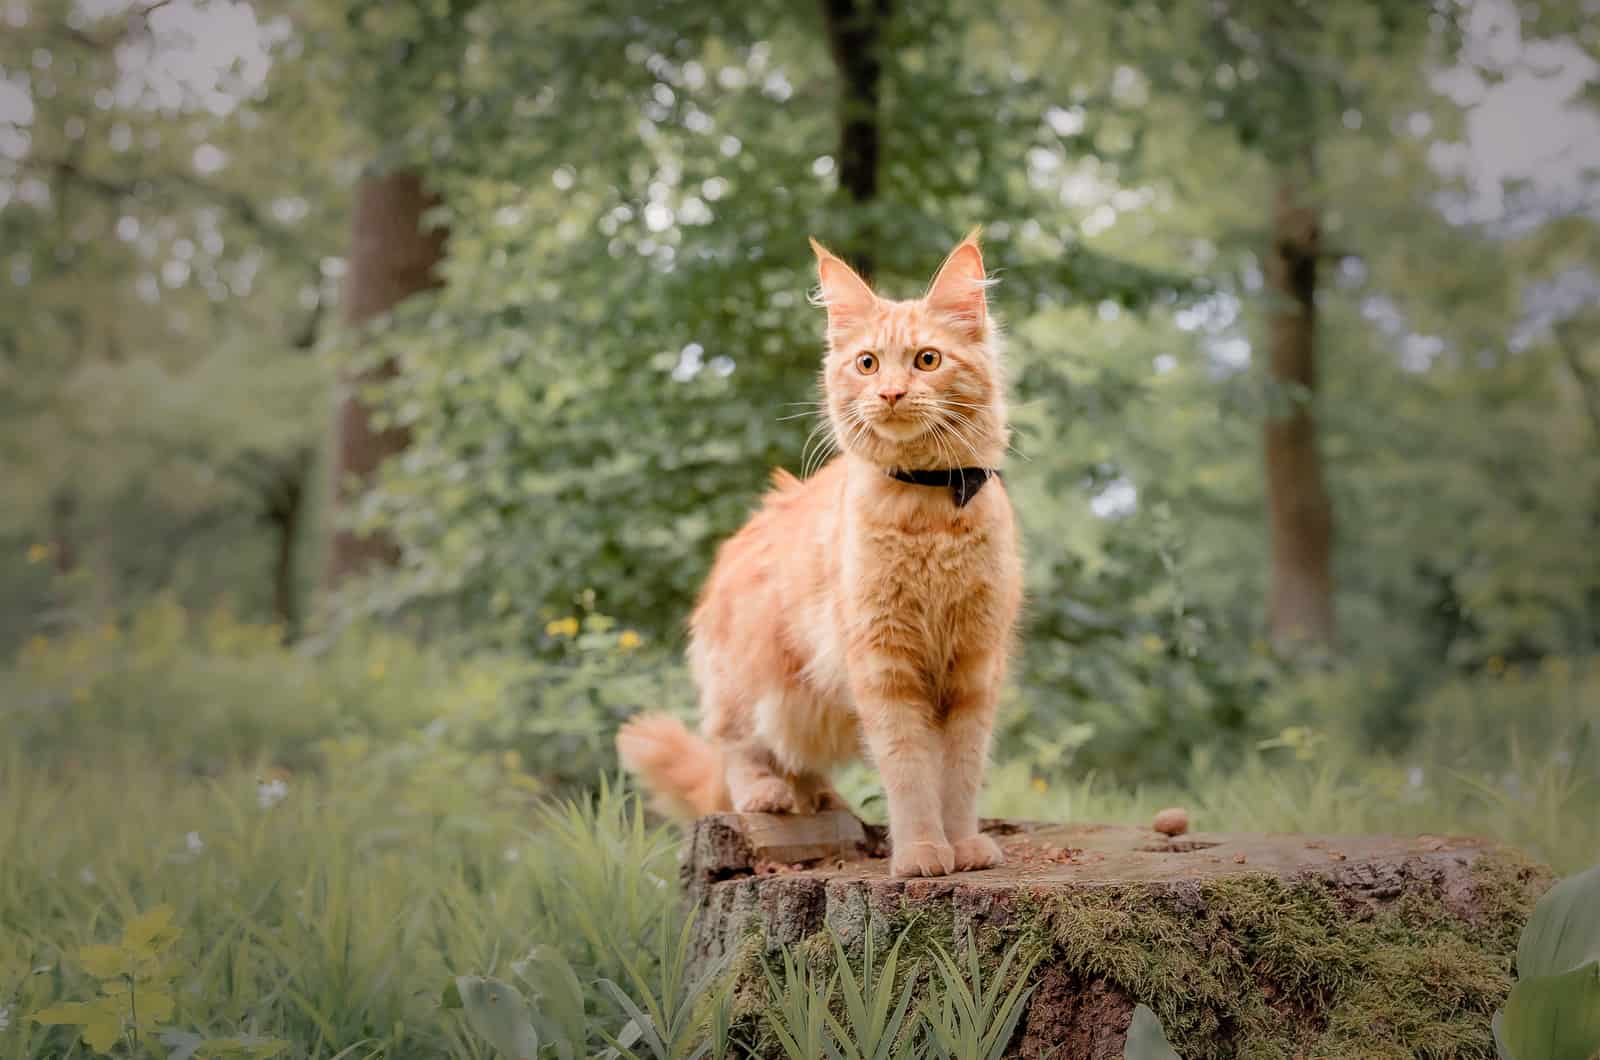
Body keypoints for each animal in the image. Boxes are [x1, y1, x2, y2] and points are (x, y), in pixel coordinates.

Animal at [617, 232, 1017, 877]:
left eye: (927, 360)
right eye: (867, 363)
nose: (891, 393)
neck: (927, 513)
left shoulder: (974, 667)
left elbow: (959, 774)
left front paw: (963, 845)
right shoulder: (885, 667)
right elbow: (909, 770)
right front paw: (922, 852)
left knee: (802, 762)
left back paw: (824, 797)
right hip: (752, 682)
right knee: (740, 748)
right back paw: (769, 794)